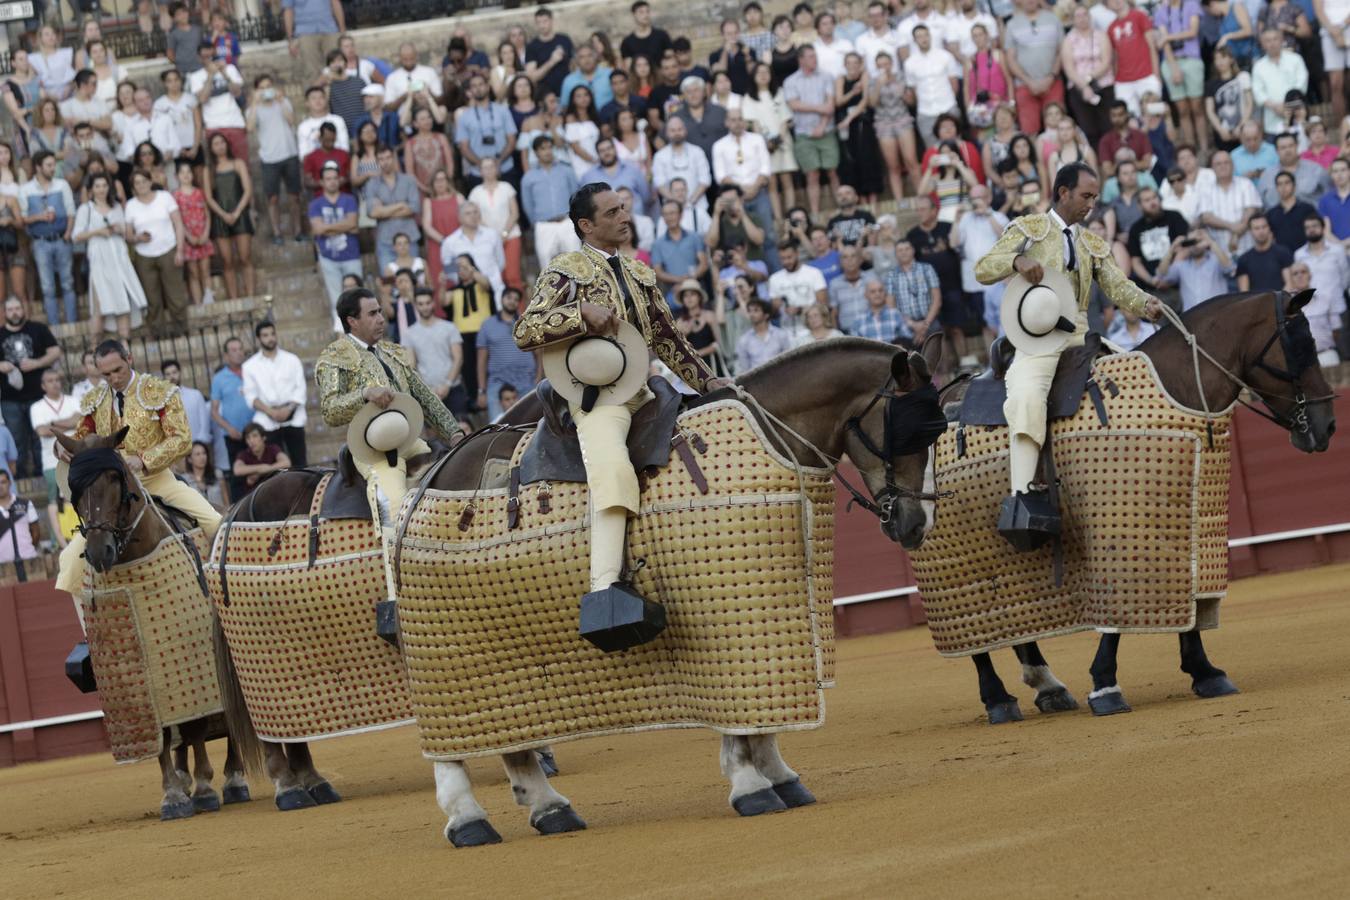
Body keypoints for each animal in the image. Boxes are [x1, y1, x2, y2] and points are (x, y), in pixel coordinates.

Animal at [52, 431, 252, 825]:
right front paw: (174, 793)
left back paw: (233, 779)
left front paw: (205, 788)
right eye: (75, 489)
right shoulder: (144, 687)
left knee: (225, 718)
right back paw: (185, 776)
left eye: (115, 479)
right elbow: (162, 731)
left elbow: (196, 726)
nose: (99, 552)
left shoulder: (194, 668)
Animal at [934, 290, 1333, 723]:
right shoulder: (1119, 534)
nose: (1327, 425)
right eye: (1299, 347)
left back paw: (1049, 688)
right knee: (973, 632)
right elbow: (1116, 617)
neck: (1176, 386)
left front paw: (1206, 672)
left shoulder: (1182, 521)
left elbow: (1188, 599)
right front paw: (1105, 685)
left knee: (1011, 620)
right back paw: (998, 699)